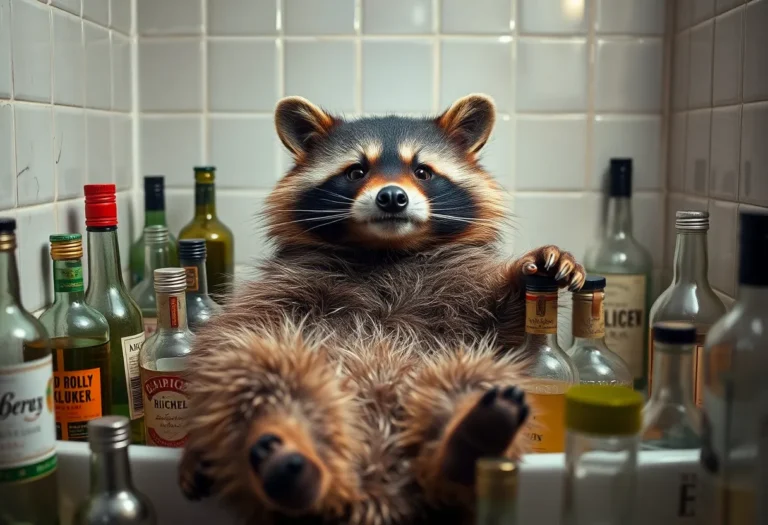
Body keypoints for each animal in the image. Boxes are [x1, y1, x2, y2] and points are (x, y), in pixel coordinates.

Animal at [179, 94, 586, 525]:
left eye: (422, 171)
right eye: (356, 171)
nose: (392, 197)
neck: (386, 251)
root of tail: (376, 488)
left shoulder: (463, 291)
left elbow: (504, 327)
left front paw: (530, 272)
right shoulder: (282, 286)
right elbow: (227, 337)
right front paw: (194, 448)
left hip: (451, 375)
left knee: (473, 376)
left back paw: (471, 438)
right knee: (257, 365)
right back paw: (283, 447)